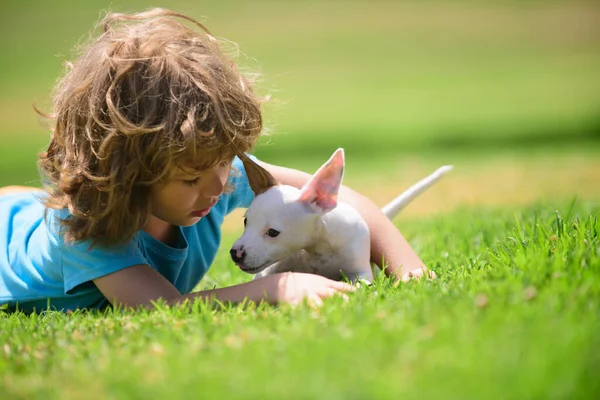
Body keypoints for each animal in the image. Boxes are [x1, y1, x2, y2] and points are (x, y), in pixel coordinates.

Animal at [230, 148, 450, 282]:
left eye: (273, 232)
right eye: (246, 221)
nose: (235, 253)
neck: (319, 250)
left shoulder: (361, 272)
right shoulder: (269, 270)